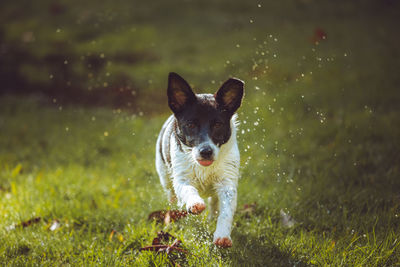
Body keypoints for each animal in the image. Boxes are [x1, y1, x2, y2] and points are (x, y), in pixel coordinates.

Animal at [155, 72, 244, 248]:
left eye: (218, 124)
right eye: (190, 124)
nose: (206, 151)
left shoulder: (227, 183)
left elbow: (226, 211)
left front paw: (222, 235)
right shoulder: (181, 179)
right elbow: (188, 189)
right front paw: (195, 204)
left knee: (214, 202)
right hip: (165, 176)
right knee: (171, 194)